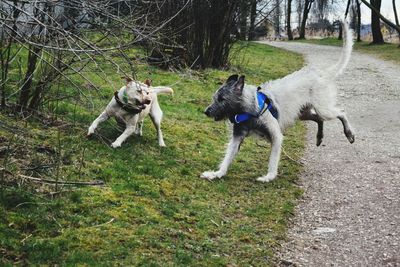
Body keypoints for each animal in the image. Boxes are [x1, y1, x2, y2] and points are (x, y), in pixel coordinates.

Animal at [202, 22, 354, 183]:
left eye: (222, 99)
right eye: (214, 98)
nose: (206, 111)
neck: (248, 110)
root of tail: (320, 74)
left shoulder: (276, 136)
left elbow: (273, 160)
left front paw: (269, 176)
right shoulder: (237, 137)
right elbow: (227, 158)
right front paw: (217, 174)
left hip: (323, 109)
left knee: (341, 113)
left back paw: (349, 133)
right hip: (303, 114)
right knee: (319, 119)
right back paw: (320, 137)